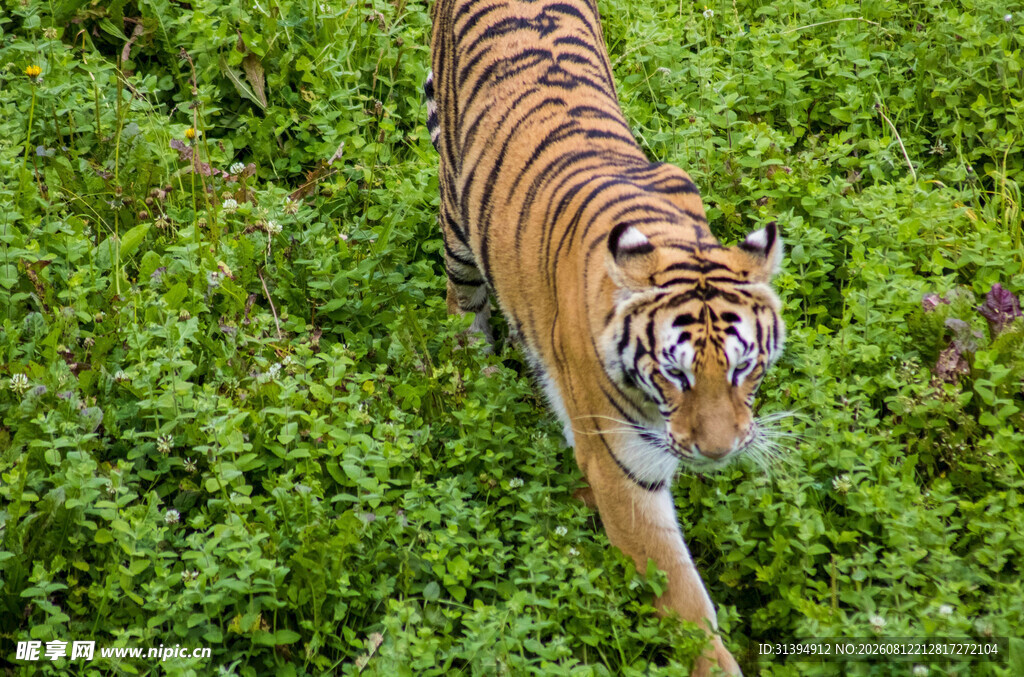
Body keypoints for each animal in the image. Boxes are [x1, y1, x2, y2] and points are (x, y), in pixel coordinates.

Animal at [426, 0, 785, 674]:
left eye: (743, 367)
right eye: (675, 374)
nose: (721, 452)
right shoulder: (623, 469)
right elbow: (684, 599)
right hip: (458, 219)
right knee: (462, 298)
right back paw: (479, 371)